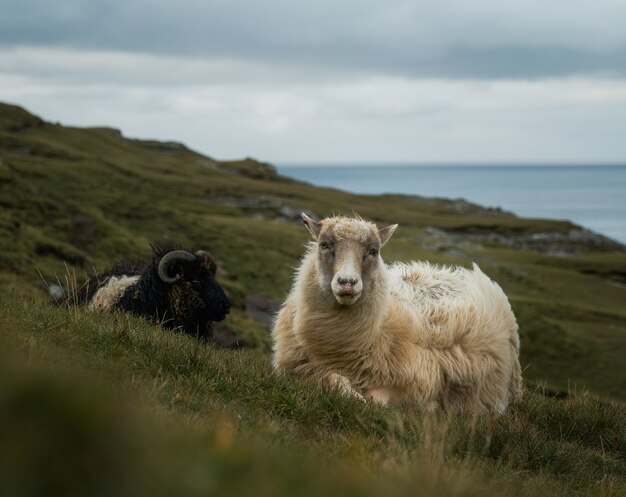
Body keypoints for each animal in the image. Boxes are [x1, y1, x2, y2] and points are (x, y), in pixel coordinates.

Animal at [270, 213, 520, 410]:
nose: (347, 283)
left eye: (373, 251)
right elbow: (332, 379)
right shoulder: (293, 369)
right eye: (325, 245)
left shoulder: (415, 383)